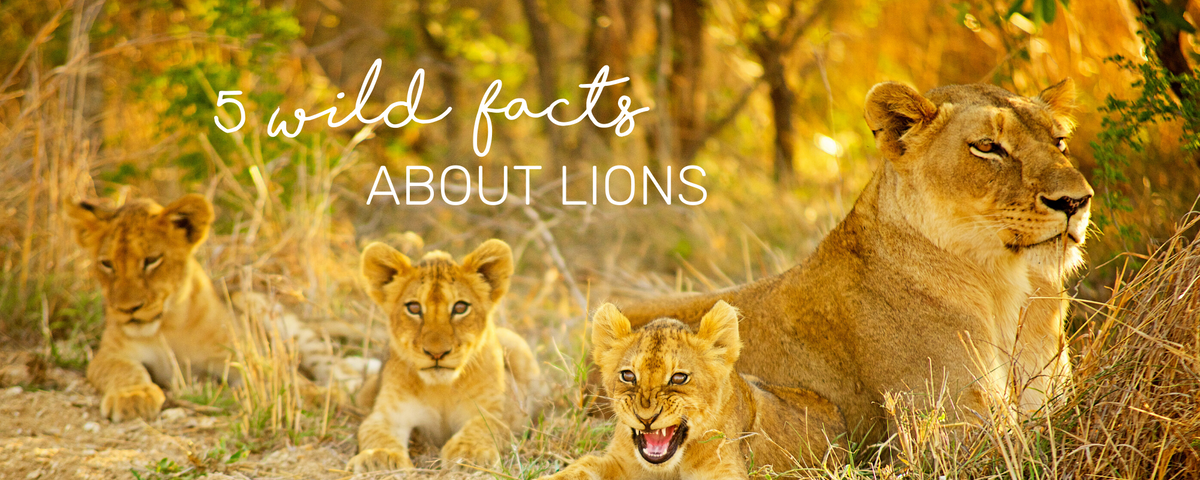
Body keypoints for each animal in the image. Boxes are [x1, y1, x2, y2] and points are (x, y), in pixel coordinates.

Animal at [65, 194, 378, 422]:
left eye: (152, 260)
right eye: (107, 264)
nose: (128, 309)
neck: (169, 324)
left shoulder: (239, 351)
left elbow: (272, 370)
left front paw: (311, 394)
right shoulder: (109, 354)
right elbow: (123, 369)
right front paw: (133, 398)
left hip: (265, 310)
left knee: (334, 366)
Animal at [347, 239, 544, 473]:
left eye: (460, 307)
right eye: (414, 308)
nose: (436, 353)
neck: (441, 389)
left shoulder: (503, 411)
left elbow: (484, 425)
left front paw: (469, 454)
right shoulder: (388, 413)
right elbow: (374, 431)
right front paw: (380, 457)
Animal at [541, 301, 844, 480]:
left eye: (679, 377)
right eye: (628, 375)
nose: (646, 418)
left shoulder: (726, 472)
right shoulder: (620, 463)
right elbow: (581, 466)